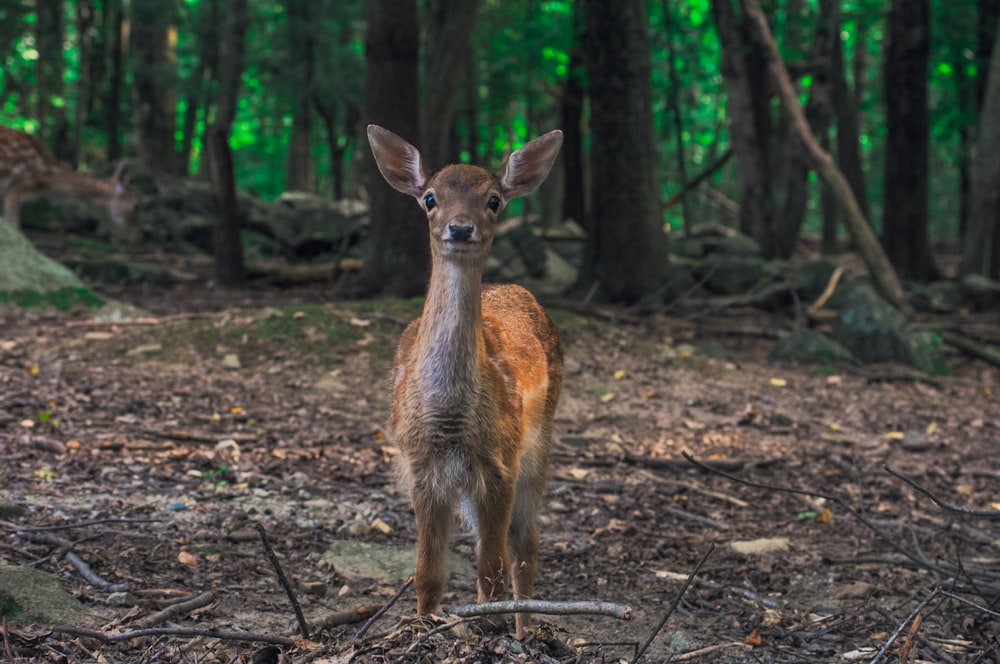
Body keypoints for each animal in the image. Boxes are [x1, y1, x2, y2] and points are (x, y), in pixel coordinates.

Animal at [368, 124, 568, 640]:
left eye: (493, 199)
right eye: (430, 198)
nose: (460, 228)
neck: (450, 416)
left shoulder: (499, 461)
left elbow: (491, 568)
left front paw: (490, 633)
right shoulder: (419, 465)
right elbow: (427, 572)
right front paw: (424, 626)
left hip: (539, 441)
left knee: (524, 547)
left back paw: (523, 630)